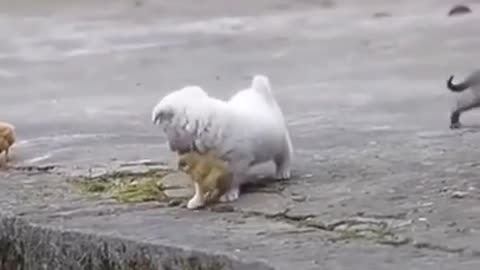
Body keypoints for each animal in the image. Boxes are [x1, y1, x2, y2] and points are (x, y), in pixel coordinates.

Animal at [152, 75, 292, 201]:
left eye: (165, 130)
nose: (171, 148)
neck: (207, 125)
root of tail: (258, 90)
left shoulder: (238, 160)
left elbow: (234, 178)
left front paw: (229, 194)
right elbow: (199, 180)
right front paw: (197, 198)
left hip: (280, 142)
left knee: (284, 155)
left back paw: (283, 172)